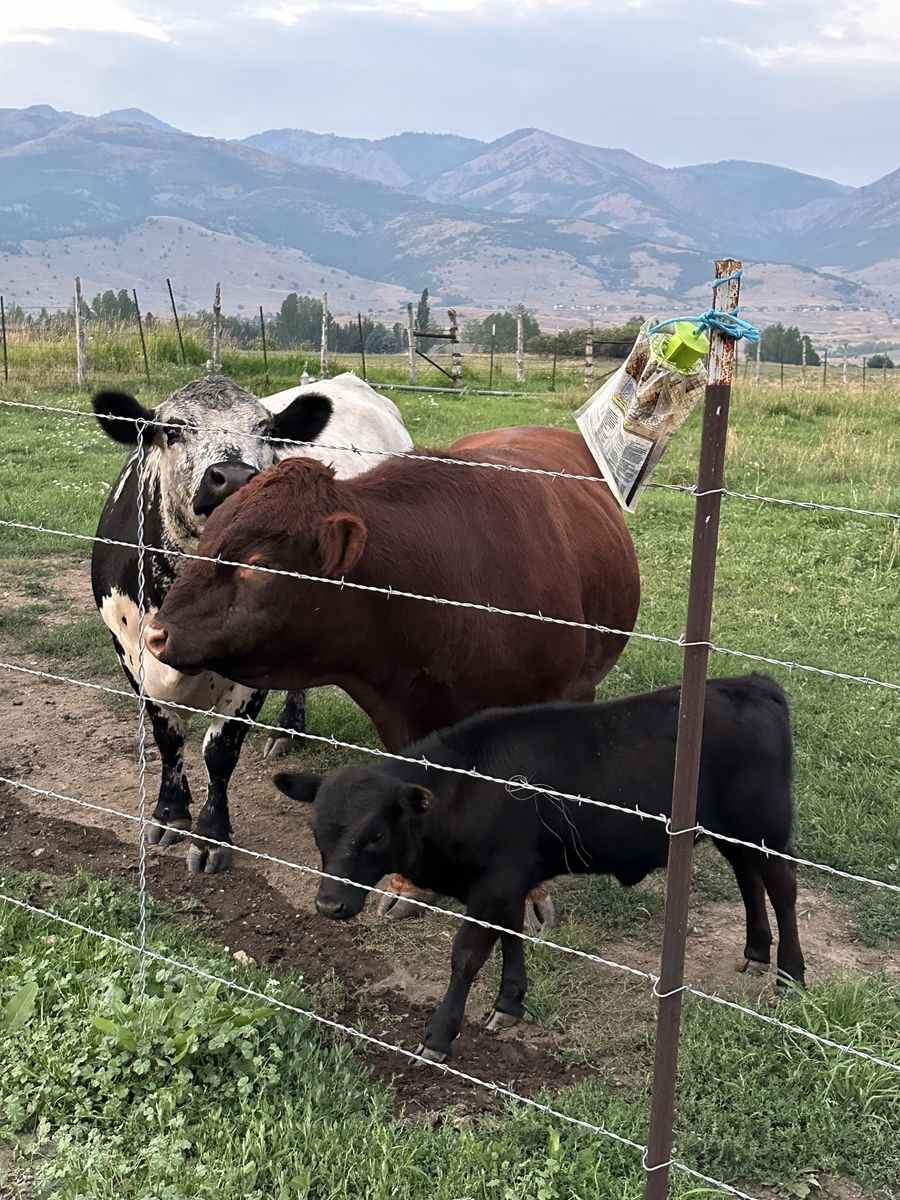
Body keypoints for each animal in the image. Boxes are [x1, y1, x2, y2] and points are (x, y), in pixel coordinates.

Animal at [91, 372, 412, 874]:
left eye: (265, 430)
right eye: (173, 429)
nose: (235, 476)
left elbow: (220, 750)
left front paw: (211, 836)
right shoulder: (129, 650)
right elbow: (167, 735)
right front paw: (169, 813)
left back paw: (288, 730)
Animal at [144, 423, 641, 922]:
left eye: (258, 565)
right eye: (205, 542)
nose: (156, 633)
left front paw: (534, 893)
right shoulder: (403, 718)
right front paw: (408, 884)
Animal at [273, 673, 806, 1063]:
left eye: (377, 835)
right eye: (317, 828)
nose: (329, 904)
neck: (465, 790)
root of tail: (751, 683)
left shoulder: (495, 885)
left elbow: (466, 955)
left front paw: (439, 1037)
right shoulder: (508, 884)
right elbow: (511, 936)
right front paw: (509, 1003)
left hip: (765, 828)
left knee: (782, 885)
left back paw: (791, 974)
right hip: (732, 833)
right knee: (748, 878)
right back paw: (757, 952)